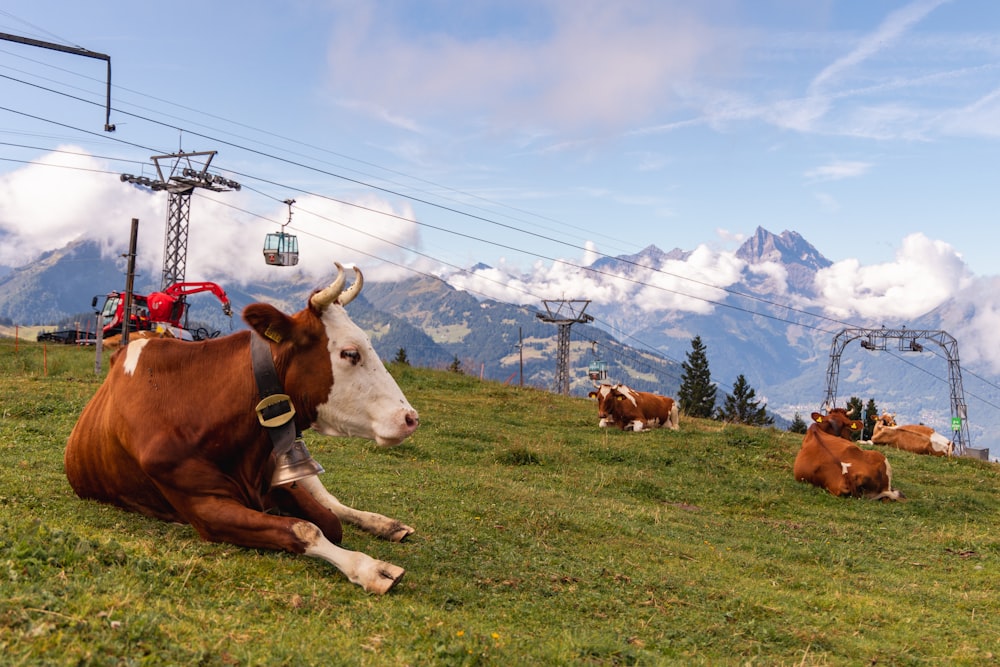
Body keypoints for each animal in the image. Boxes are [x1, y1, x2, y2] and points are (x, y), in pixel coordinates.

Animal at [62, 264, 420, 596]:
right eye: (350, 353)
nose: (410, 418)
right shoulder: (205, 507)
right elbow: (306, 529)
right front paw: (371, 567)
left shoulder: (276, 481)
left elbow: (329, 521)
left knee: (332, 502)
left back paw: (386, 524)